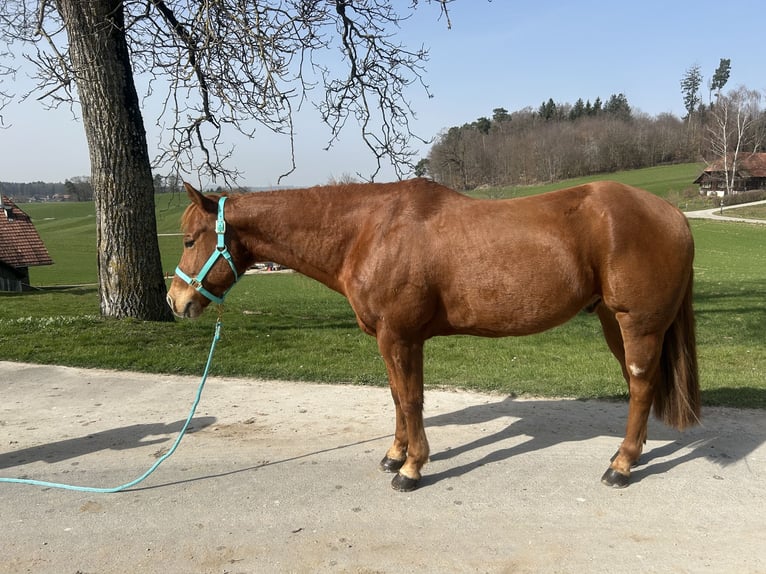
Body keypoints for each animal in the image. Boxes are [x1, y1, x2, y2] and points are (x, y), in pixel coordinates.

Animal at [166, 178, 700, 492]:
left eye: (191, 239)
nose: (176, 301)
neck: (370, 231)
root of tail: (673, 214)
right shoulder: (398, 339)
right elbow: (399, 396)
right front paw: (395, 454)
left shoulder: (399, 336)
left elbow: (409, 398)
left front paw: (411, 468)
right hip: (612, 321)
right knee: (639, 385)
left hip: (637, 324)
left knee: (641, 386)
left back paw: (622, 466)